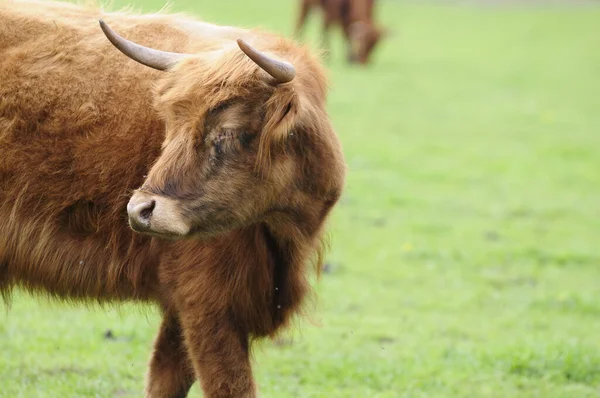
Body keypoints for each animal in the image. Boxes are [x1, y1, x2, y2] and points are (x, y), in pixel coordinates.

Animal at [0, 1, 346, 396]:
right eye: (171, 125)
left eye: (227, 132)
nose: (139, 210)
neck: (285, 234)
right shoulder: (206, 301)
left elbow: (166, 378)